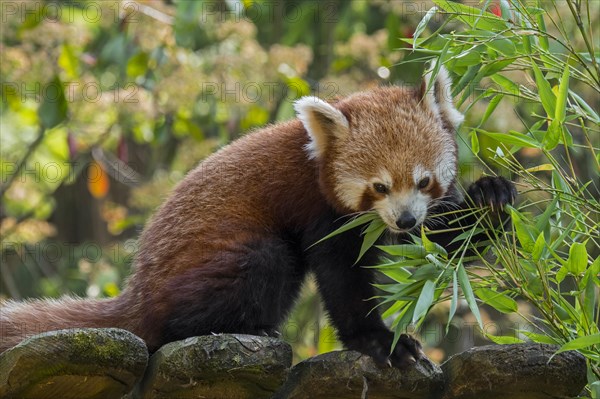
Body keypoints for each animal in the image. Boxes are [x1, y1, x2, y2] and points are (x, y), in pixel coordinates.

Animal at [0, 66, 516, 368]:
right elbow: (343, 278)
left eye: (424, 181)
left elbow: (440, 242)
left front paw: (490, 200)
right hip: (219, 258)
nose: (406, 220)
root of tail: (138, 292)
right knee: (265, 262)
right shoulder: (320, 211)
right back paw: (240, 327)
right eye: (379, 186)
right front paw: (379, 342)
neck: (316, 160)